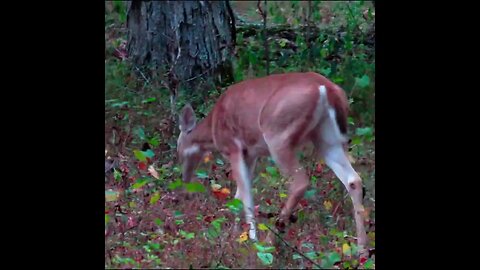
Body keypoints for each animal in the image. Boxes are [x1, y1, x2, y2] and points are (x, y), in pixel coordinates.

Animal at [176, 71, 368, 253]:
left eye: (178, 149)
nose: (184, 180)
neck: (213, 128)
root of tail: (325, 88)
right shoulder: (250, 154)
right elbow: (238, 195)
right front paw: (232, 235)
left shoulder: (234, 147)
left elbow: (246, 196)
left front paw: (251, 238)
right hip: (326, 137)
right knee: (353, 179)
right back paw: (361, 249)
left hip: (278, 135)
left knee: (300, 182)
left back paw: (270, 241)